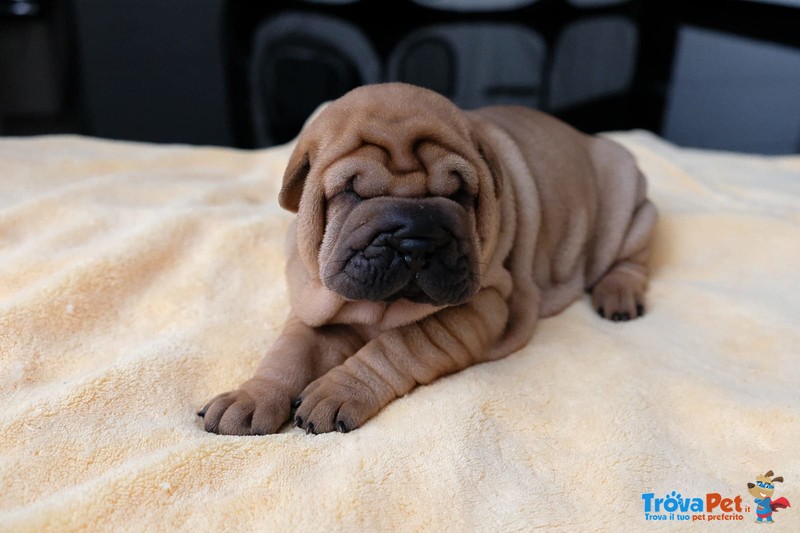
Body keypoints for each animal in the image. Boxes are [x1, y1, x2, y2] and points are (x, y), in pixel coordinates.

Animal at [198, 82, 656, 432]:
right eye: (352, 192)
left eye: (460, 194)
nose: (416, 239)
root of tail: (590, 139)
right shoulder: (314, 307)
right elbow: (289, 353)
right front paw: (251, 397)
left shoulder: (481, 307)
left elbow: (398, 345)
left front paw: (336, 391)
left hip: (628, 206)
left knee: (633, 258)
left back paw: (617, 295)